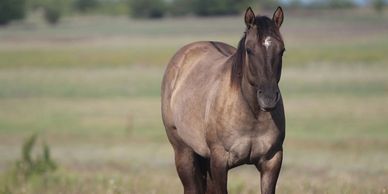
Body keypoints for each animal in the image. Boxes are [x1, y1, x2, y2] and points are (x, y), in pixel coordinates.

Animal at [160, 6, 284, 194]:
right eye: (249, 50)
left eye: (282, 50)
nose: (268, 98)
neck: (252, 113)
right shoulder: (219, 160)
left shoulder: (272, 161)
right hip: (184, 152)